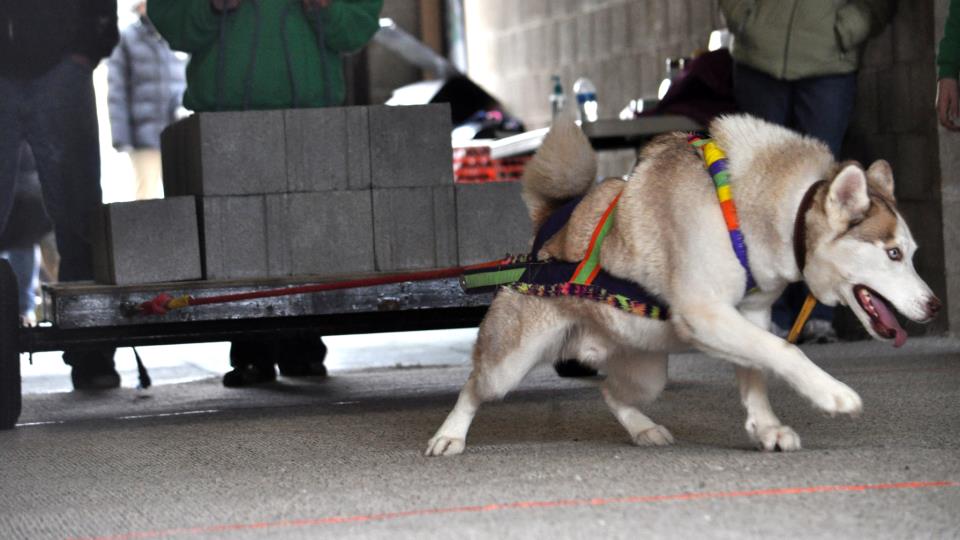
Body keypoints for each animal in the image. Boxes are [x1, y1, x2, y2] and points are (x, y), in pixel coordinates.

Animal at [426, 115, 936, 456]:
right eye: (892, 254)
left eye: (912, 253)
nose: (932, 306)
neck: (758, 212)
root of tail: (548, 229)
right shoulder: (705, 313)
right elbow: (785, 352)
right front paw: (831, 394)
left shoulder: (749, 316)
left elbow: (758, 368)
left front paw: (767, 427)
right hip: (509, 364)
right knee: (474, 385)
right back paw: (449, 435)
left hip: (646, 372)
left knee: (610, 392)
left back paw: (643, 429)